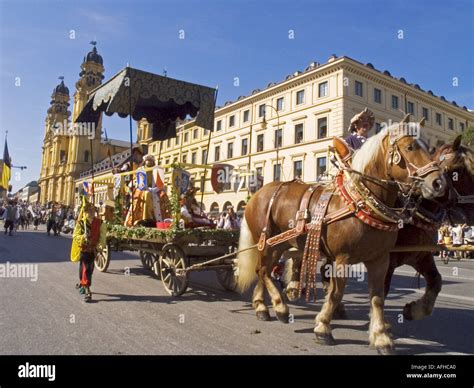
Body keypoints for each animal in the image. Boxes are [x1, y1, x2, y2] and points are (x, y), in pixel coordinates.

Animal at [239, 126, 446, 354]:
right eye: (410, 147)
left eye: (430, 147)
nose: (438, 183)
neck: (360, 202)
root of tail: (257, 194)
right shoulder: (342, 259)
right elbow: (336, 293)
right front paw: (323, 327)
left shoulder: (381, 260)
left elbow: (377, 297)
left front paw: (381, 337)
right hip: (269, 242)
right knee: (263, 271)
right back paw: (279, 306)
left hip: (279, 245)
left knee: (263, 271)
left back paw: (262, 307)